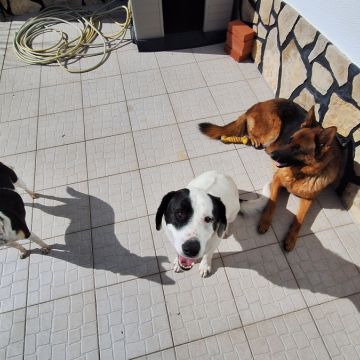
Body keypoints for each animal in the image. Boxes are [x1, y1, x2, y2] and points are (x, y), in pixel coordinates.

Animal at [200, 97, 346, 250]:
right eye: (290, 140)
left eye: (297, 149)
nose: (273, 156)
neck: (299, 174)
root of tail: (260, 104)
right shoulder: (276, 181)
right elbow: (272, 204)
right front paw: (264, 222)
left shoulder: (308, 199)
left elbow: (299, 219)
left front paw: (291, 239)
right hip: (274, 127)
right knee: (250, 134)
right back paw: (253, 141)